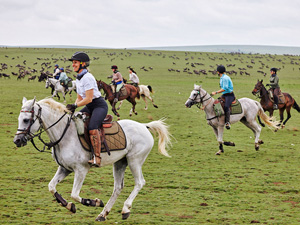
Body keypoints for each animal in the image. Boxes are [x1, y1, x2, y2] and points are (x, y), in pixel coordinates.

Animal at [13, 97, 171, 221]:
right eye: (19, 119)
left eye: (26, 120)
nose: (17, 141)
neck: (64, 135)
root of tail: (144, 126)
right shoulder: (64, 168)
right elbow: (51, 187)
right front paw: (68, 205)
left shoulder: (81, 170)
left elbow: (75, 194)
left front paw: (94, 202)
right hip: (120, 163)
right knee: (118, 188)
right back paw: (103, 214)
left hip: (134, 161)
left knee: (139, 183)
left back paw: (125, 209)